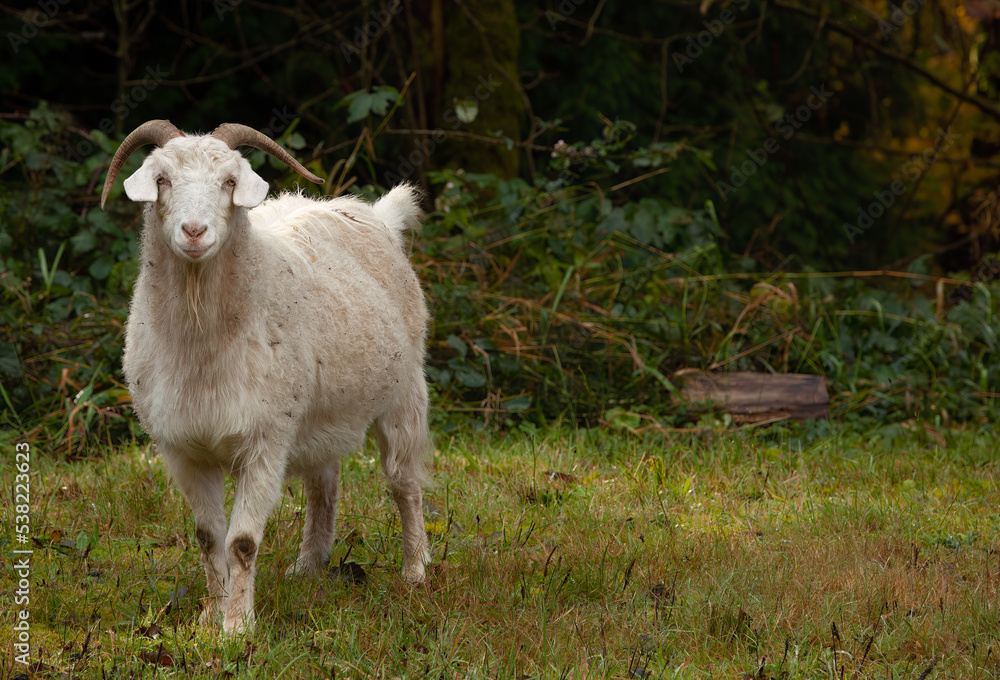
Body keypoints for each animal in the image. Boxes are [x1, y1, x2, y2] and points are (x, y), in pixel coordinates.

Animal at [101, 120, 432, 634]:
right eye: (162, 179)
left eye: (229, 181)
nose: (193, 231)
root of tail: (376, 214)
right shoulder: (182, 450)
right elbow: (207, 536)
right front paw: (209, 618)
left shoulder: (265, 442)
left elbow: (241, 542)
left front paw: (238, 627)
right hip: (319, 416)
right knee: (324, 484)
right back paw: (308, 566)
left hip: (405, 391)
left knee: (405, 483)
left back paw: (415, 570)